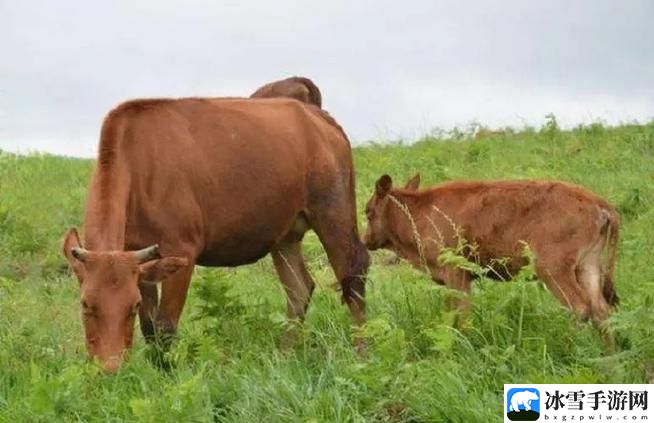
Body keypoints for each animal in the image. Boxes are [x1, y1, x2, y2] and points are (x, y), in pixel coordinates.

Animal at [61, 97, 368, 372]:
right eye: (85, 304)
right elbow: (149, 327)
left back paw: (361, 354)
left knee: (353, 278)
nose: (110, 367)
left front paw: (166, 375)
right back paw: (285, 356)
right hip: (285, 235)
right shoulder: (141, 260)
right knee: (299, 288)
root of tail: (318, 116)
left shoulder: (181, 248)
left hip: (334, 211)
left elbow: (165, 325)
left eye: (131, 306)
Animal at [362, 173, 624, 324]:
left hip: (553, 270)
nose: (365, 240)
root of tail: (598, 203)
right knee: (601, 311)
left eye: (367, 211)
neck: (419, 212)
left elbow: (460, 314)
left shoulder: (455, 273)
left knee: (579, 309)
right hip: (588, 266)